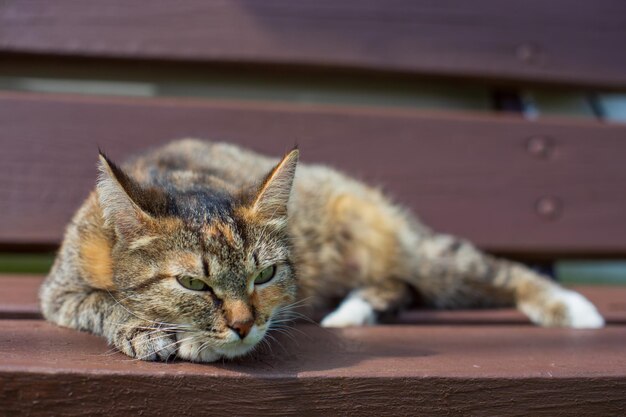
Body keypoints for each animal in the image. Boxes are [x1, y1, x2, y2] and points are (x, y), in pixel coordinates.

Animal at [37, 139, 600, 360]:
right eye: (193, 282)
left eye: (264, 276)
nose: (242, 325)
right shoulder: (58, 292)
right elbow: (99, 301)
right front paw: (146, 328)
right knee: (397, 287)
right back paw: (355, 310)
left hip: (413, 249)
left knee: (488, 269)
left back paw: (571, 307)